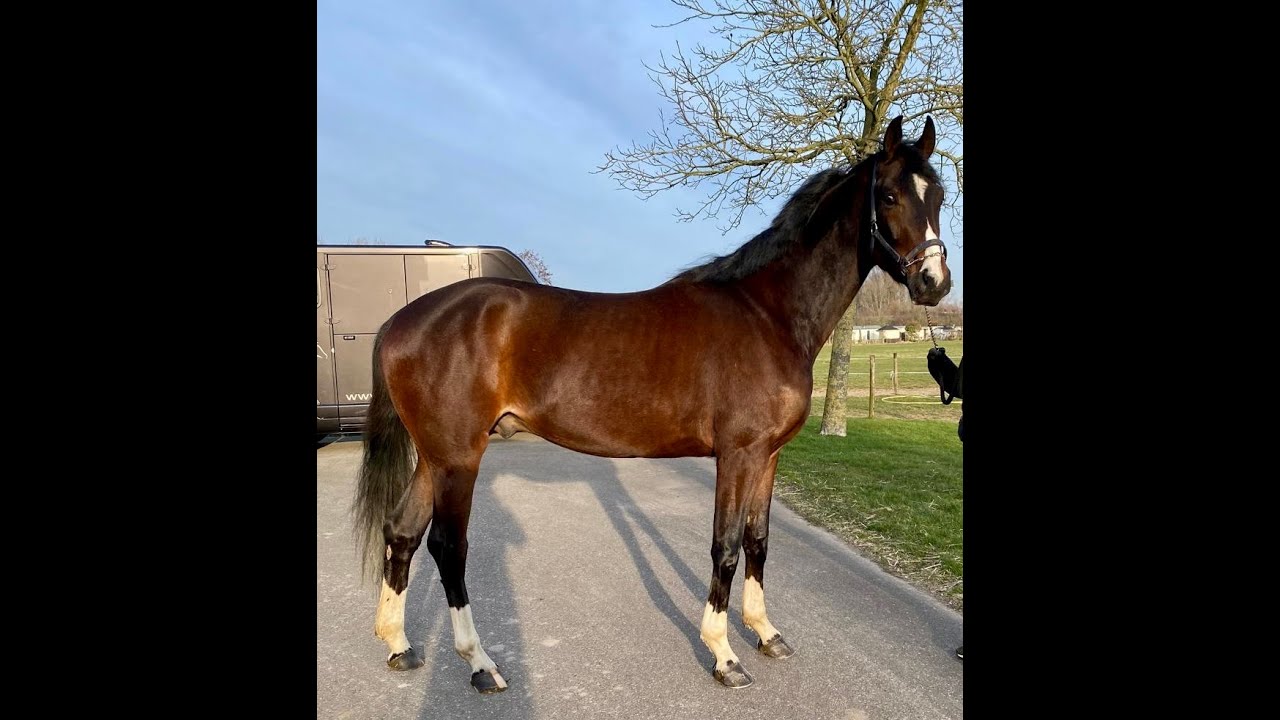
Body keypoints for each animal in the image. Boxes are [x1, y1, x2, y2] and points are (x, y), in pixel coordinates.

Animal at [352, 115, 952, 693]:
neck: (768, 314)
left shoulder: (768, 455)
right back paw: (481, 663)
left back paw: (400, 646)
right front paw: (725, 655)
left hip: (435, 457)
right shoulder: (737, 455)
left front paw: (766, 633)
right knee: (448, 547)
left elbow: (758, 541)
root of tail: (403, 319)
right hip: (459, 457)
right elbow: (725, 547)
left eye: (941, 196)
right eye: (890, 196)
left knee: (402, 533)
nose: (934, 282)